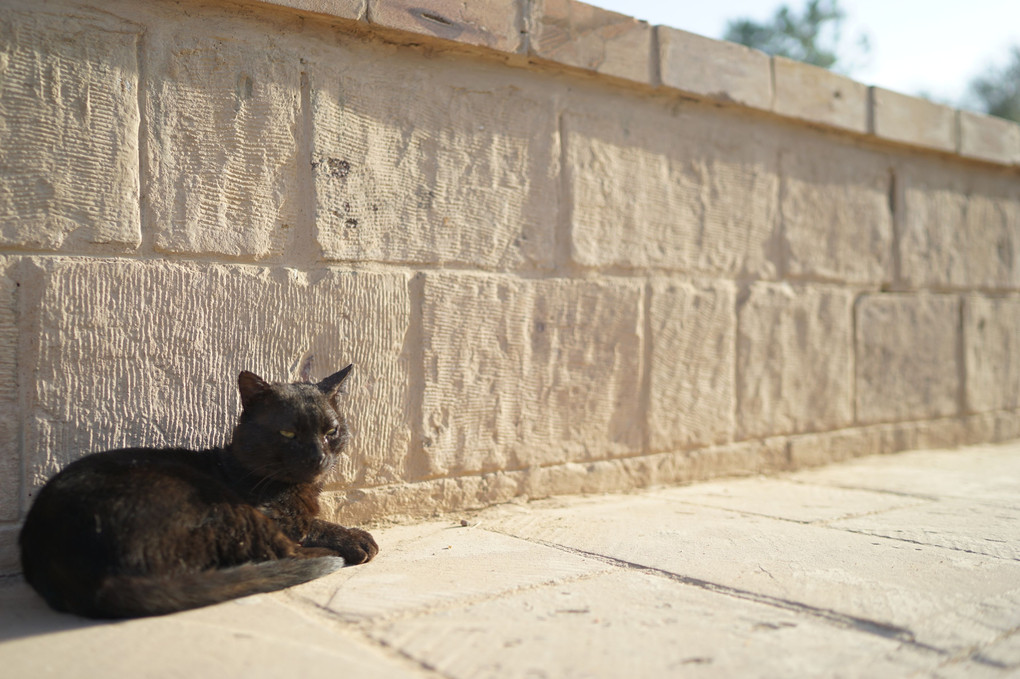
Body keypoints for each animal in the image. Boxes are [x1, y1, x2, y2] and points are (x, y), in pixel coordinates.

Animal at [16, 364, 379, 619]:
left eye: (331, 431)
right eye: (288, 433)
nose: (319, 456)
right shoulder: (277, 516)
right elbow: (311, 524)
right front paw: (354, 538)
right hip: (220, 504)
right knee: (277, 553)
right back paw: (335, 554)